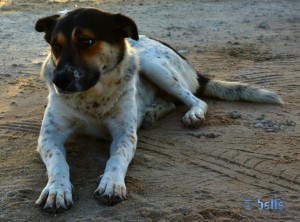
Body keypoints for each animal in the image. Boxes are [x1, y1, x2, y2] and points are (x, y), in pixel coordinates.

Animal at [35, 6, 284, 212]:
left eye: (86, 41)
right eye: (55, 46)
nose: (59, 81)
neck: (92, 97)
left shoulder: (124, 134)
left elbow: (116, 158)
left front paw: (112, 183)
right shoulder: (49, 136)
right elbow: (58, 161)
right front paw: (57, 190)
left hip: (151, 63)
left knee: (194, 100)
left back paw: (191, 114)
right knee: (170, 101)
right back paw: (150, 113)